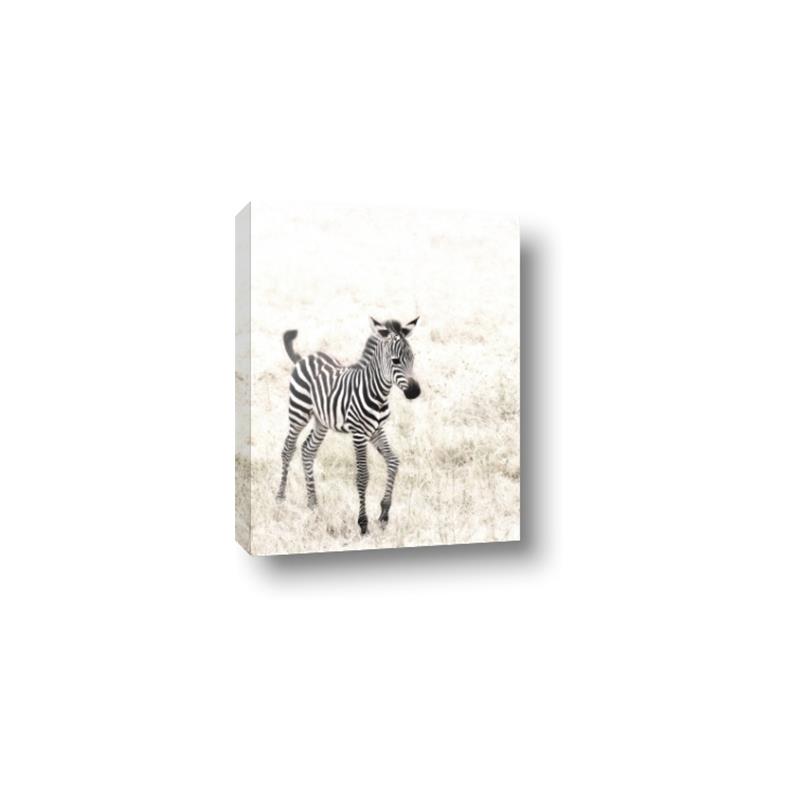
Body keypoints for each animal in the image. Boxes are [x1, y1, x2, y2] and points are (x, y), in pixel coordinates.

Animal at [276, 316, 421, 535]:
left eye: (412, 358)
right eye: (396, 360)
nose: (415, 392)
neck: (378, 393)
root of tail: (305, 357)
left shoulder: (376, 431)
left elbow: (393, 461)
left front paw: (384, 514)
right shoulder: (359, 434)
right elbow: (362, 476)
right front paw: (363, 524)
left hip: (322, 421)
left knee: (308, 450)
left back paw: (313, 504)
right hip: (298, 412)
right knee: (288, 448)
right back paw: (280, 498)